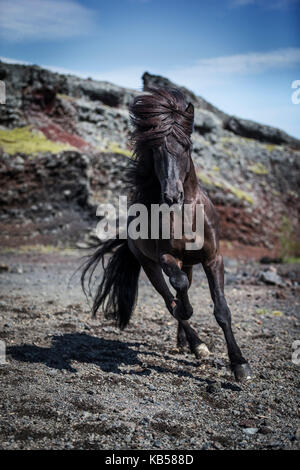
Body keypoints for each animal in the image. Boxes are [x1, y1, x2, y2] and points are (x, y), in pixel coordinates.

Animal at [81, 88, 252, 382]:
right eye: (157, 149)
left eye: (186, 146)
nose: (173, 195)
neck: (186, 214)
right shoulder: (165, 258)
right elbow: (178, 292)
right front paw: (187, 313)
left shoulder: (213, 258)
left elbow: (222, 310)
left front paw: (240, 365)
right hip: (150, 266)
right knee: (169, 297)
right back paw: (195, 342)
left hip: (190, 264)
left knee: (182, 291)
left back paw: (187, 343)